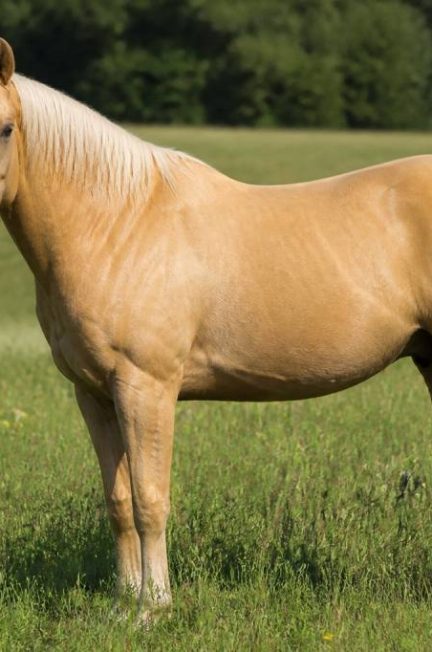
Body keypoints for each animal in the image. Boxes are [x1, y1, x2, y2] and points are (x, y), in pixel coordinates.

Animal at [1, 37, 432, 625]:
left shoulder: (146, 388)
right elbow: (118, 501)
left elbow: (150, 499)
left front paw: (153, 608)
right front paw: (122, 605)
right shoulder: (93, 394)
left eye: (5, 128)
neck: (118, 224)